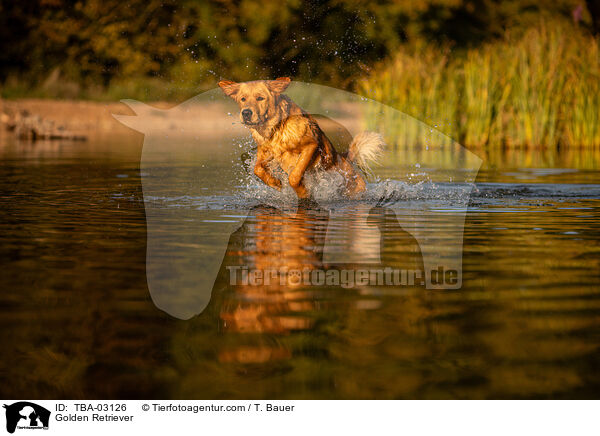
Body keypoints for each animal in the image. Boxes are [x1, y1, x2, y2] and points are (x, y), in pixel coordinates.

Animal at [219, 77, 384, 198]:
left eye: (260, 98)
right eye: (243, 99)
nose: (246, 113)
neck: (277, 128)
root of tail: (345, 158)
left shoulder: (311, 145)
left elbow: (295, 175)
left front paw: (303, 192)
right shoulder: (265, 154)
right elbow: (257, 169)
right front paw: (275, 183)